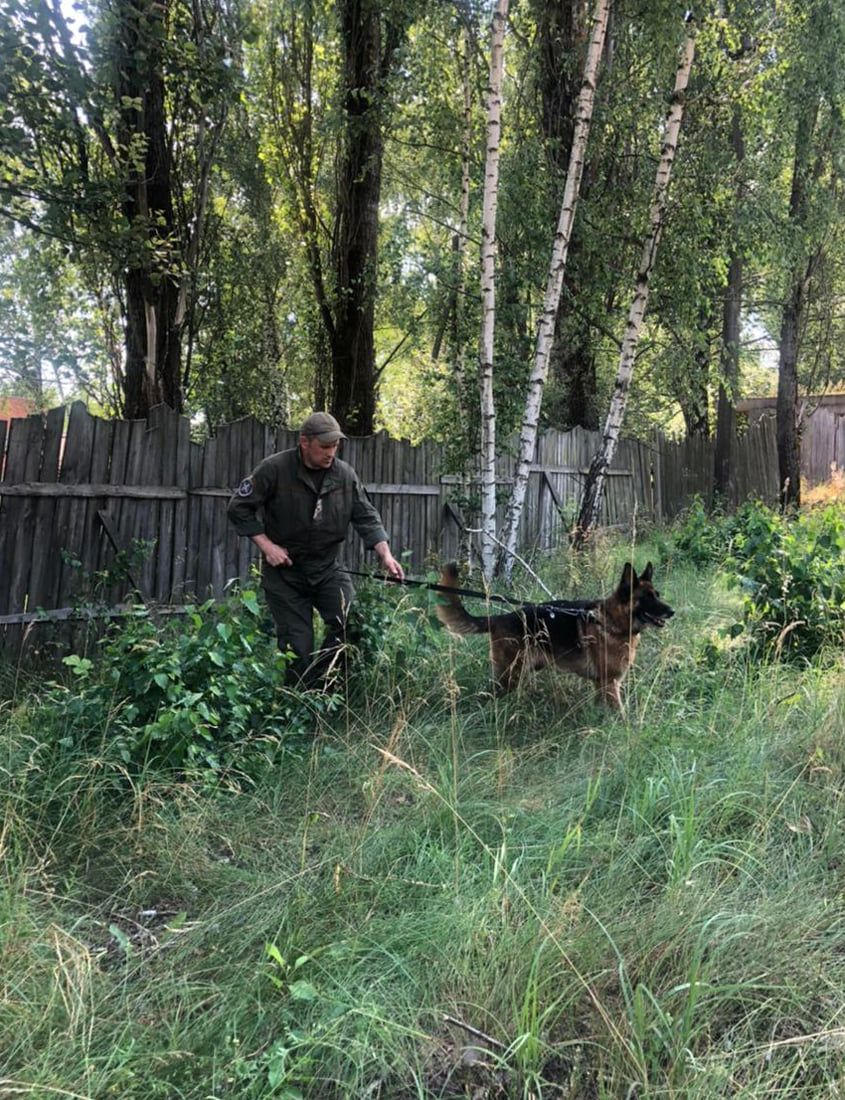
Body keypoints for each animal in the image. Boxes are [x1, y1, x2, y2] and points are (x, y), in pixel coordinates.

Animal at [435, 563, 673, 708]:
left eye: (657, 595)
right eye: (647, 598)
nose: (672, 612)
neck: (610, 621)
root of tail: (499, 618)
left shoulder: (602, 685)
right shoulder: (610, 684)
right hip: (509, 675)